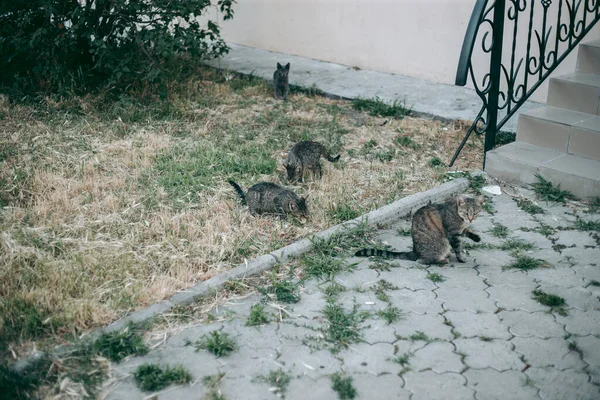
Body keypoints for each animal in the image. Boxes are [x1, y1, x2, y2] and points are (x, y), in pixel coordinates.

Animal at [354, 195, 486, 264]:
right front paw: (461, 258)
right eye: (466, 212)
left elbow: (467, 232)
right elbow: (458, 248)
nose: (470, 219)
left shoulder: (460, 231)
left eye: (475, 213)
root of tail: (415, 251)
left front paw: (476, 237)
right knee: (422, 260)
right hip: (441, 244)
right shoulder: (453, 234)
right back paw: (442, 260)